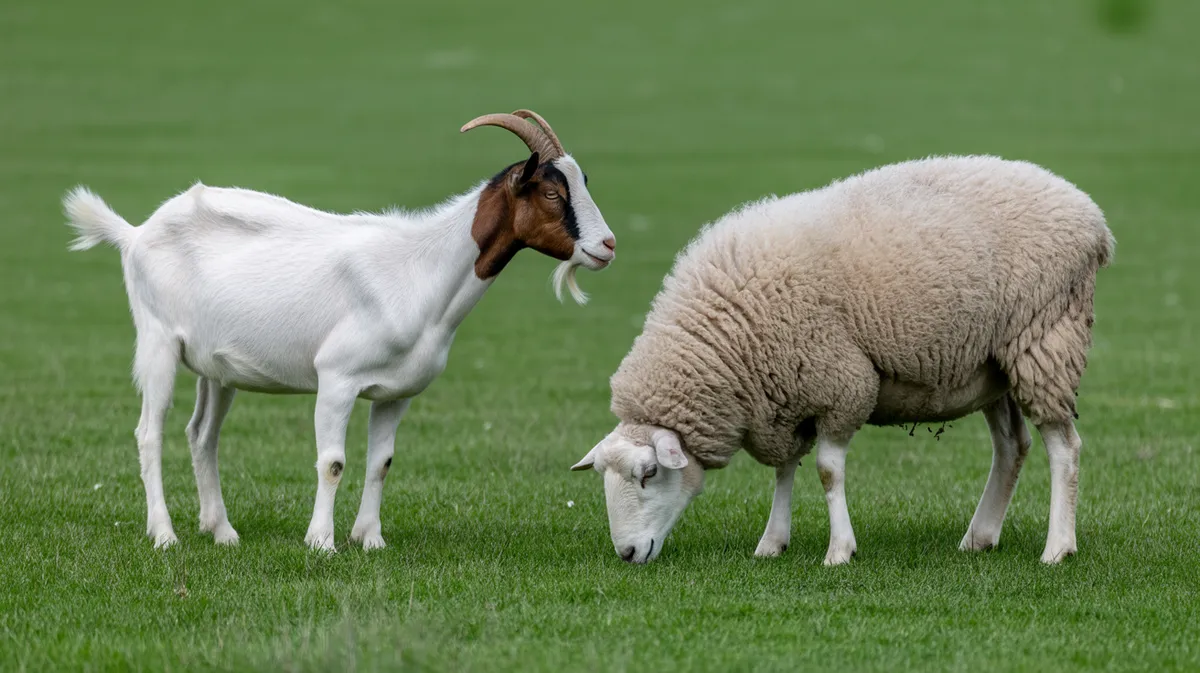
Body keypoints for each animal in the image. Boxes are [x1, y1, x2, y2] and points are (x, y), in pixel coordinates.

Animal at [64, 109, 616, 551]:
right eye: (552, 192)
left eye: (585, 182)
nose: (608, 245)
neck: (420, 272)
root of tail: (134, 233)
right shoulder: (336, 378)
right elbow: (332, 461)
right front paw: (322, 543)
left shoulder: (396, 393)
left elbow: (382, 462)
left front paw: (369, 539)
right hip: (157, 341)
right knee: (149, 433)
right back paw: (164, 534)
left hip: (215, 368)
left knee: (202, 435)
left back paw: (221, 531)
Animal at [570, 155, 1114, 566]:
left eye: (649, 474)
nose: (627, 553)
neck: (725, 342)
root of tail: (1090, 215)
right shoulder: (782, 397)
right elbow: (784, 469)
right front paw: (772, 542)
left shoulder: (842, 384)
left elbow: (828, 470)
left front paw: (839, 551)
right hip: (991, 364)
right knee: (1012, 446)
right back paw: (979, 536)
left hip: (1045, 340)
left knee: (1064, 448)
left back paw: (1057, 548)